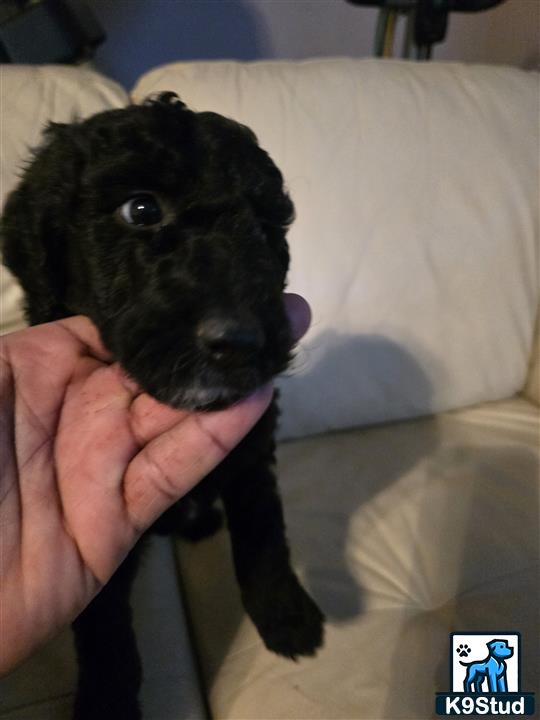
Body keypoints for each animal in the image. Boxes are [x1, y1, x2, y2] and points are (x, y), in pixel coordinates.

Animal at [1, 93, 324, 716]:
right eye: (142, 209)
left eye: (262, 228)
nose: (238, 342)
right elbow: (104, 627)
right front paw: (106, 701)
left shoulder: (250, 450)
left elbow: (263, 531)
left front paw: (285, 615)